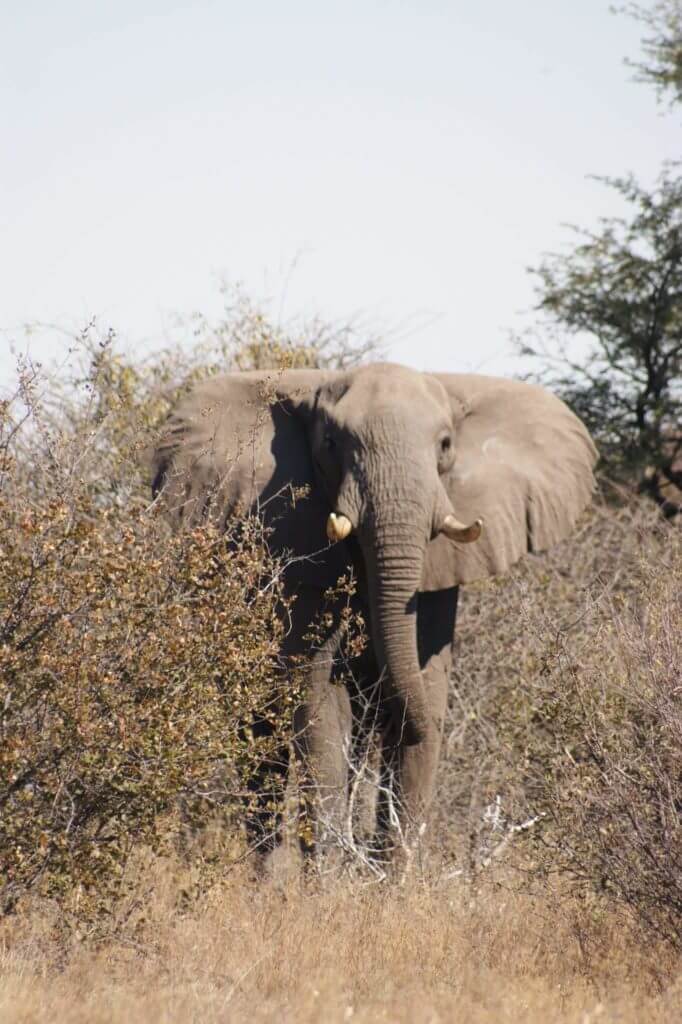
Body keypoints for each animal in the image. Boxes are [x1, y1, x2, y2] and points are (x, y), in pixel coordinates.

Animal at [151, 361, 596, 870]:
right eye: (330, 444)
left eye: (446, 445)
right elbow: (320, 704)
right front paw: (328, 879)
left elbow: (427, 695)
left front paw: (394, 879)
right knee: (261, 743)